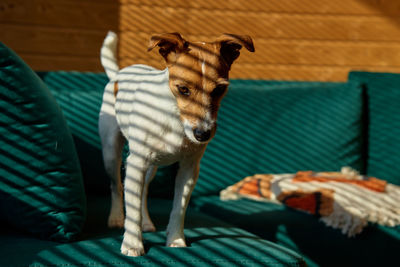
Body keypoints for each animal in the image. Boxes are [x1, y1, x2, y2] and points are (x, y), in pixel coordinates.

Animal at [97, 31, 253, 258]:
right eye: (183, 89)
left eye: (219, 89)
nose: (202, 134)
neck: (175, 117)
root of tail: (117, 74)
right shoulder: (136, 163)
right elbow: (131, 209)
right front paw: (133, 244)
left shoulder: (189, 169)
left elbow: (178, 208)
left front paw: (176, 240)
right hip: (111, 153)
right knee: (116, 186)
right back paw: (116, 217)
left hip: (150, 168)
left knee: (143, 192)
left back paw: (146, 221)